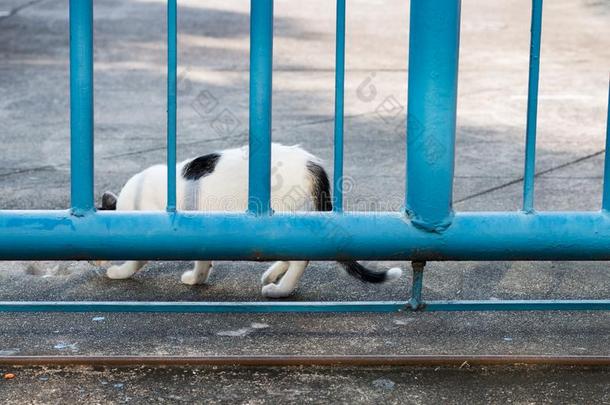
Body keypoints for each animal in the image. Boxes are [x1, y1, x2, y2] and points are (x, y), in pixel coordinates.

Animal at [101, 143, 400, 296]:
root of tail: (311, 164)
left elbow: (136, 260)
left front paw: (118, 272)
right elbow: (203, 259)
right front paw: (198, 278)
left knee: (301, 259)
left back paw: (281, 289)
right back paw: (272, 274)